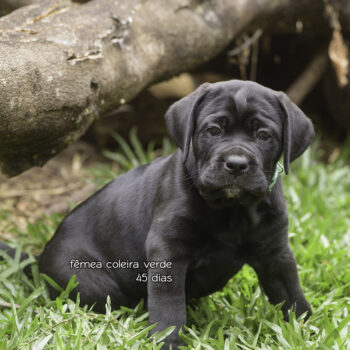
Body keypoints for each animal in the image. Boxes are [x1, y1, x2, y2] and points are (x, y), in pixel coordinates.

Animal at [0, 80, 314, 348]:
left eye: (264, 136)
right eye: (213, 131)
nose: (236, 164)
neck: (232, 210)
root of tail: (39, 257)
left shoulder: (275, 253)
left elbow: (293, 295)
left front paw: (306, 332)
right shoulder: (168, 251)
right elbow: (168, 306)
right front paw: (169, 342)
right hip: (90, 283)